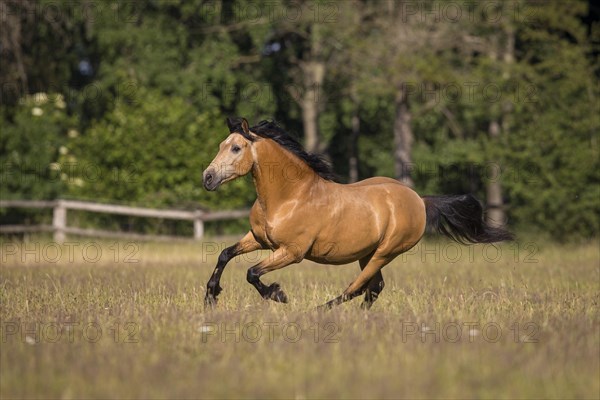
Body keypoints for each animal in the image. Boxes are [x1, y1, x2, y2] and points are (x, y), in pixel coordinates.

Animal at [202, 116, 510, 310]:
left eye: (236, 147)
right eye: (220, 146)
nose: (208, 178)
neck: (290, 197)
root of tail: (419, 201)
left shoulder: (292, 252)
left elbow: (252, 272)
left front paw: (277, 294)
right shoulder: (258, 239)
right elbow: (225, 254)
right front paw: (211, 296)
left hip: (385, 252)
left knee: (358, 287)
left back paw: (317, 312)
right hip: (367, 253)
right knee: (374, 288)